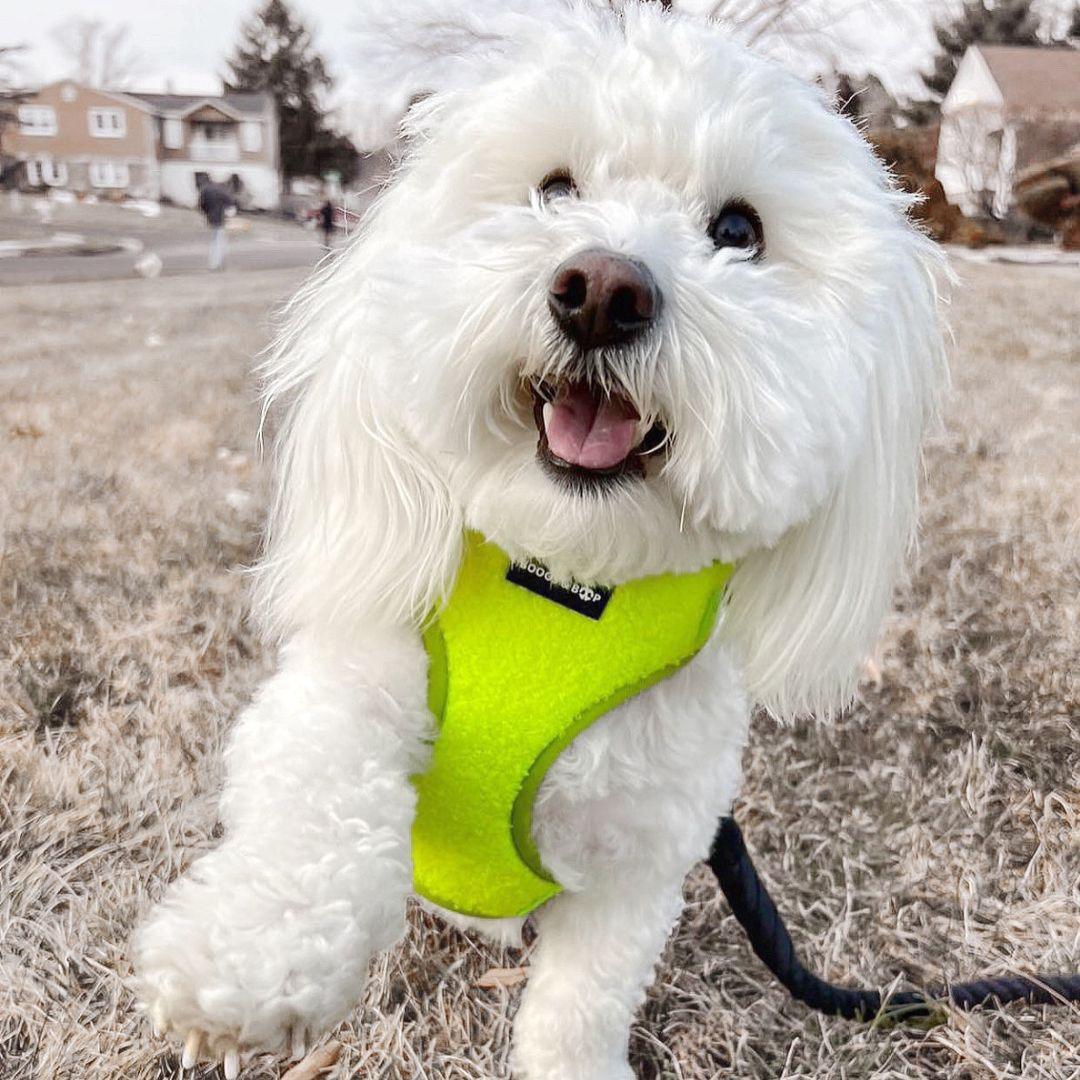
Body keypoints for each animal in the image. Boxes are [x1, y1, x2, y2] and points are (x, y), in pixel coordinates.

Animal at [132, 4, 946, 1075]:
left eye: (738, 231)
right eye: (555, 189)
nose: (601, 288)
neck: (561, 585)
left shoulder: (642, 858)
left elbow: (585, 997)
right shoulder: (350, 679)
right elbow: (320, 788)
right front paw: (248, 956)